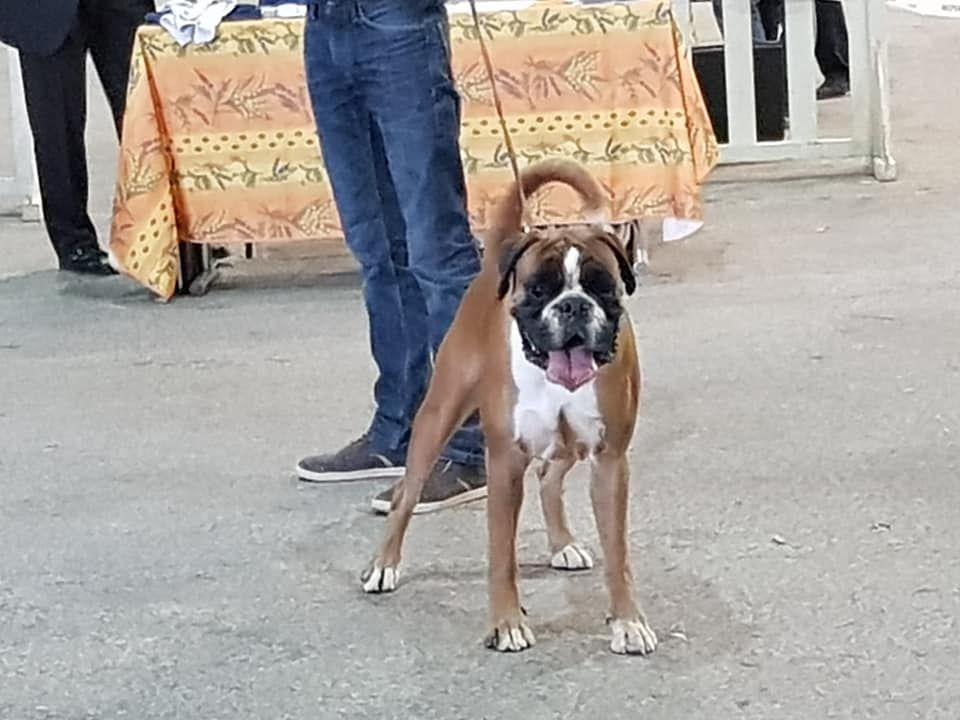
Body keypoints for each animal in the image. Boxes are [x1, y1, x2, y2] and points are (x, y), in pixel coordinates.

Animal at [362, 159, 660, 660]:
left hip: (568, 445)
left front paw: (628, 622)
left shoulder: (610, 462)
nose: (574, 306)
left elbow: (618, 552)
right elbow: (501, 553)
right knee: (407, 494)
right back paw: (384, 565)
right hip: (437, 418)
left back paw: (563, 544)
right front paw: (506, 625)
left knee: (549, 479)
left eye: (603, 288)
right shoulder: (503, 462)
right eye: (539, 290)